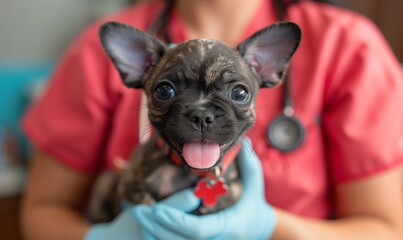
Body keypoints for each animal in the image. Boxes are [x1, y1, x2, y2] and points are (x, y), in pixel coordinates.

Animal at [90, 21, 302, 222]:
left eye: (239, 93)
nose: (201, 114)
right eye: (164, 91)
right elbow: (140, 197)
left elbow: (235, 191)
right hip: (104, 181)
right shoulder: (127, 182)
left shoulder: (235, 185)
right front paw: (147, 205)